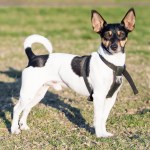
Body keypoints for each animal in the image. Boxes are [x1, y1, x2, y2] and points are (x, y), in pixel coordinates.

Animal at [10, 8, 137, 137]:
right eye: (107, 35)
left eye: (121, 35)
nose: (114, 47)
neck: (112, 64)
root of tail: (33, 57)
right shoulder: (98, 96)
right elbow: (98, 117)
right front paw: (99, 135)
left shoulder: (111, 98)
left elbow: (103, 117)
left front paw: (104, 133)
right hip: (28, 92)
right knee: (16, 109)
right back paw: (14, 129)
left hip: (37, 94)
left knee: (26, 108)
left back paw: (23, 126)